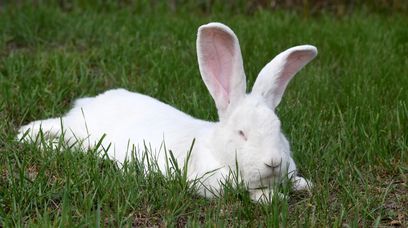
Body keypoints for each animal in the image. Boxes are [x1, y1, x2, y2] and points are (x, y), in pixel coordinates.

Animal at [17, 22, 318, 202]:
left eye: (278, 129)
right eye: (241, 133)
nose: (273, 162)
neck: (213, 147)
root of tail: (86, 105)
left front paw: (304, 185)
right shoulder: (210, 182)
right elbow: (250, 192)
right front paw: (273, 198)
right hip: (79, 132)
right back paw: (27, 137)